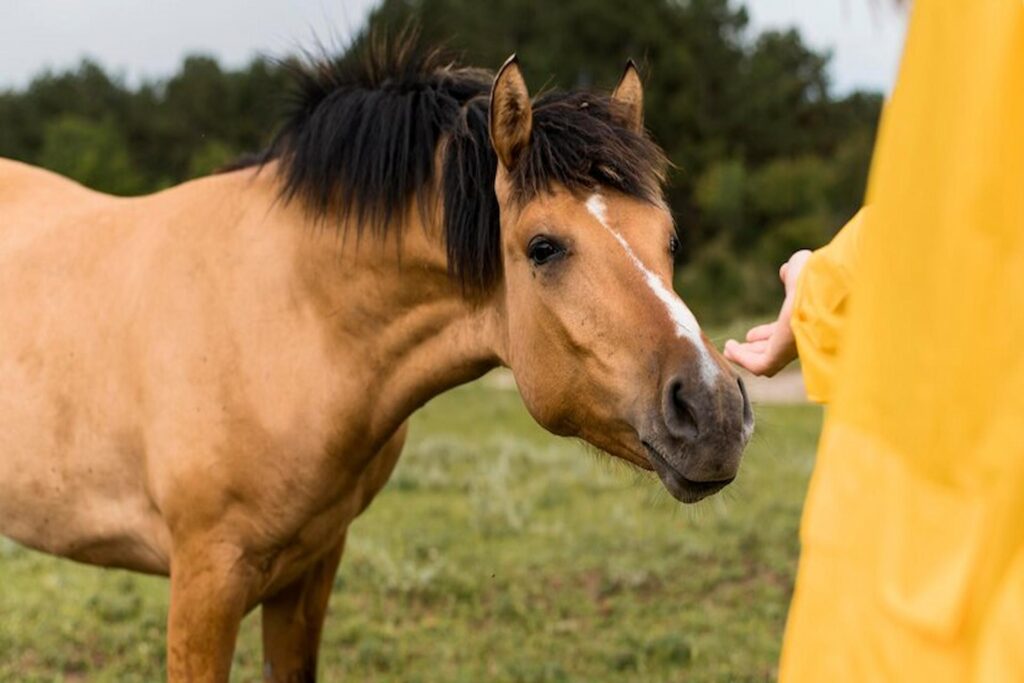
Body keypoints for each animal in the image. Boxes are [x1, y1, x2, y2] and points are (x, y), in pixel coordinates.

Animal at [0, 42, 753, 683]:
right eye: (543, 246)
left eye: (670, 238)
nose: (713, 412)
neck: (289, 313)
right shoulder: (205, 579)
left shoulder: (309, 567)